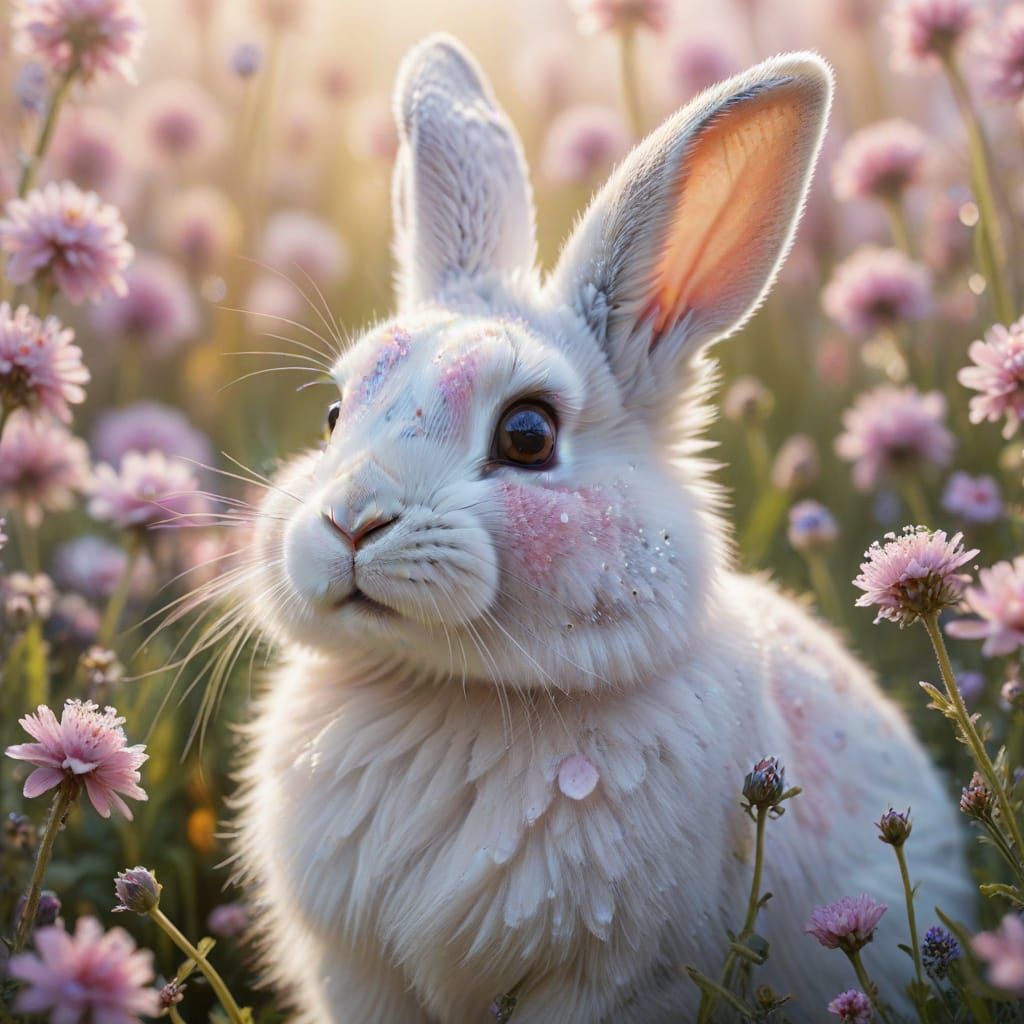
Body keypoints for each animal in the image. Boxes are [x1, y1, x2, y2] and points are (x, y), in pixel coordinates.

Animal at [230, 34, 974, 1024]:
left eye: (528, 433)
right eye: (333, 416)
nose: (351, 523)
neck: (451, 689)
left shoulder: (613, 981)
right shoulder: (357, 973)